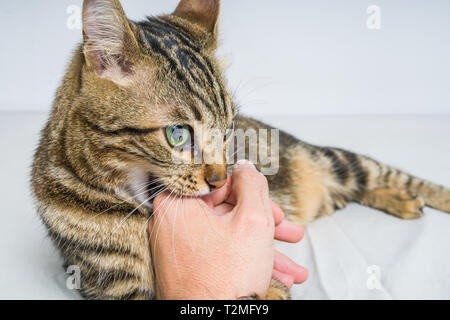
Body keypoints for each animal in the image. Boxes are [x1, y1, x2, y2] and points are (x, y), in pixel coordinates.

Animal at [31, 0, 450, 300]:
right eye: (177, 134)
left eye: (228, 128)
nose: (220, 180)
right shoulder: (117, 285)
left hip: (336, 162)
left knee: (383, 175)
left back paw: (414, 197)